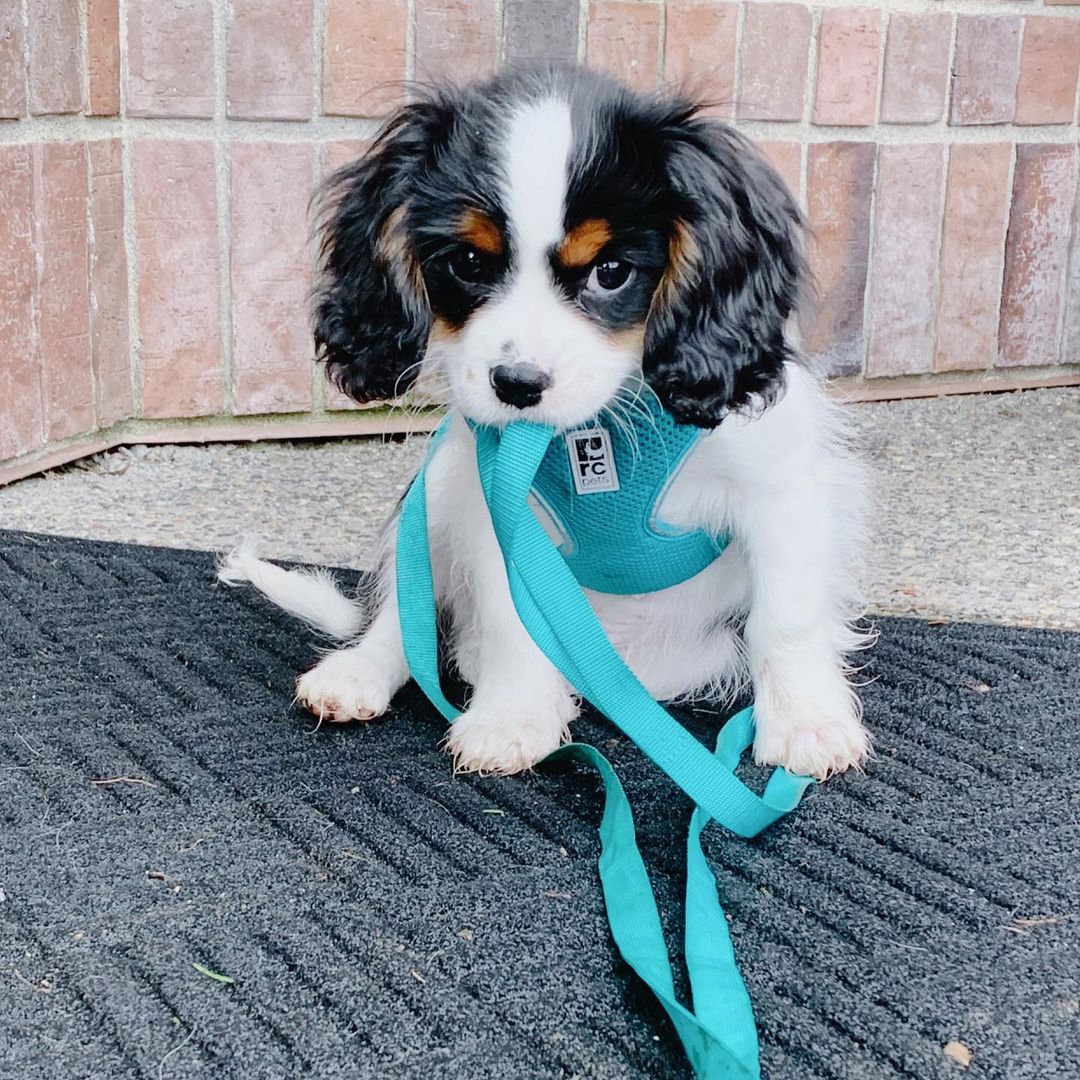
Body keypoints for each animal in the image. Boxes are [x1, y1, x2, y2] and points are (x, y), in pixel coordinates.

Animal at [223, 65, 872, 777]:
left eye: (611, 272)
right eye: (468, 264)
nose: (517, 384)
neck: (600, 428)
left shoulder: (781, 492)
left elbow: (787, 617)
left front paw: (806, 721)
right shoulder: (497, 509)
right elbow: (512, 621)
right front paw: (512, 717)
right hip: (439, 492)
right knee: (403, 612)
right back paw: (359, 673)